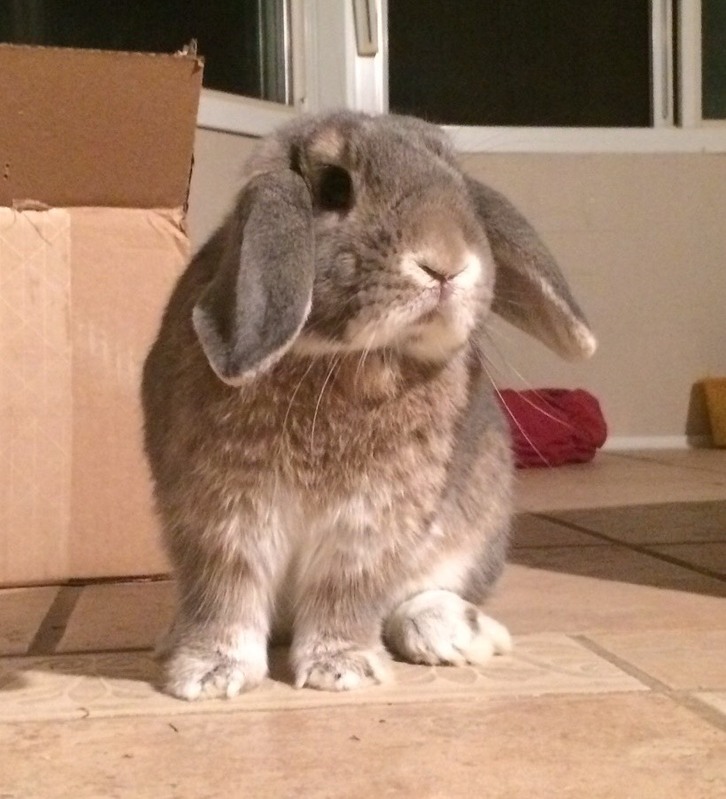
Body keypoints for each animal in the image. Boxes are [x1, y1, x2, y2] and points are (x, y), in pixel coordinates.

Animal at [141, 110, 596, 700]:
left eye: (458, 184)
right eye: (335, 186)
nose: (446, 265)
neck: (344, 358)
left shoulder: (368, 522)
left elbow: (346, 591)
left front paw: (342, 670)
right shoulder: (222, 519)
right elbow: (226, 597)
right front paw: (208, 676)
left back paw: (456, 633)